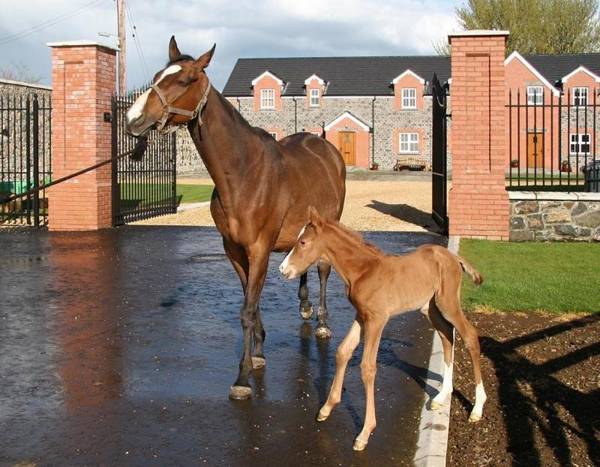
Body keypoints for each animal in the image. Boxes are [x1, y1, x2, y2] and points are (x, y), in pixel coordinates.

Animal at [278, 208, 486, 450]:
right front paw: (326, 408)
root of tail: (454, 258)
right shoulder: (361, 316)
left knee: (469, 336)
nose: (283, 270)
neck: (363, 271)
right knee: (446, 336)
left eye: (303, 242)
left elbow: (368, 368)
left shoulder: (377, 320)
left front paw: (365, 433)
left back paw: (477, 408)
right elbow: (343, 351)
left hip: (448, 303)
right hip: (431, 308)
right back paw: (442, 396)